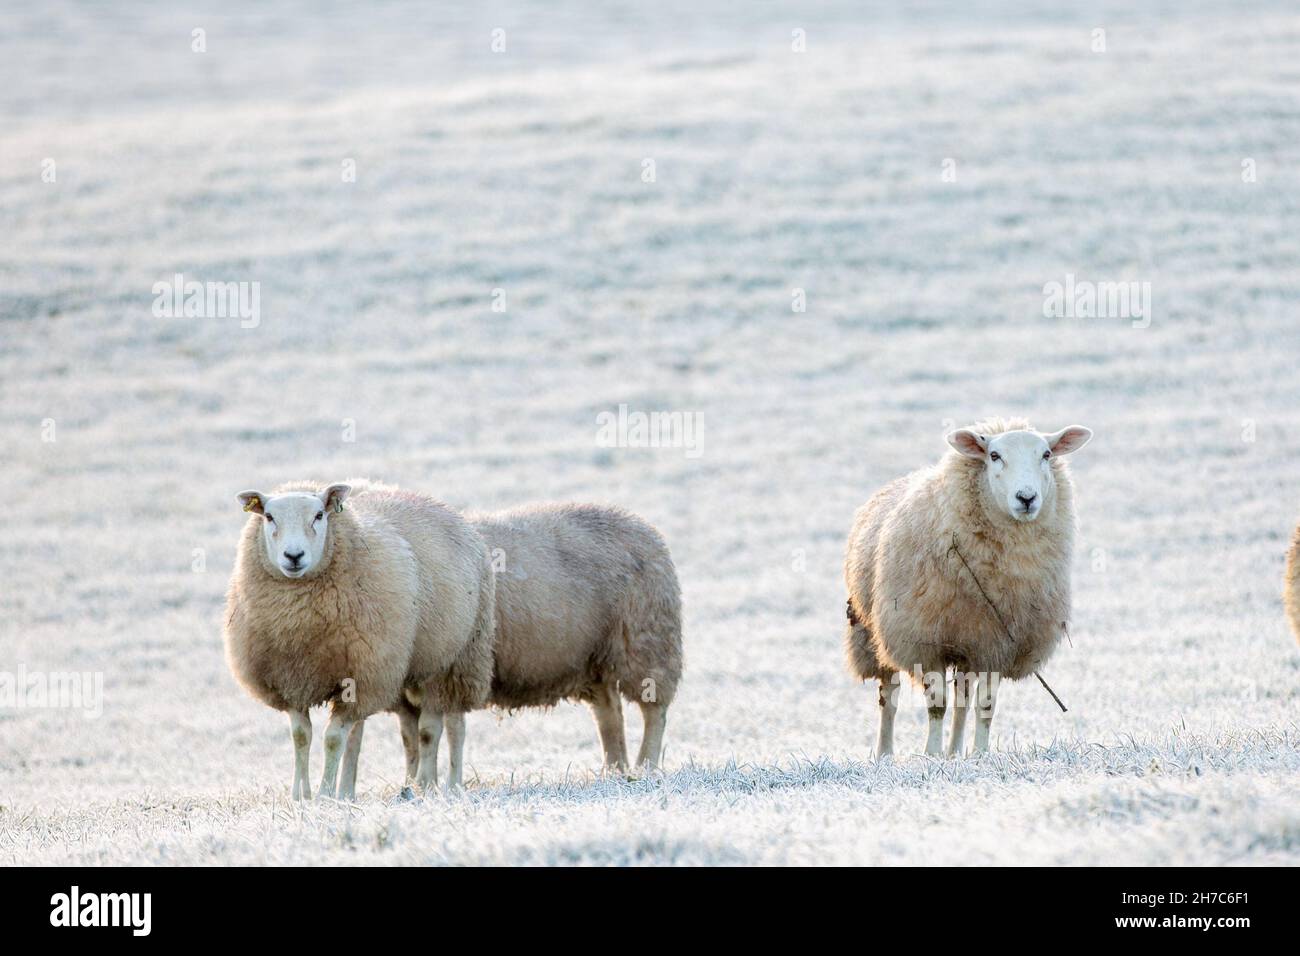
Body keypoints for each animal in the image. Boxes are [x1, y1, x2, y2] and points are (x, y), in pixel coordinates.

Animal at [223, 478, 491, 801]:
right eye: (269, 517)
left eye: (319, 515)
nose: (294, 556)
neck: (300, 623)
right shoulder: (293, 680)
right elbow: (301, 737)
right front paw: (301, 795)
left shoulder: (361, 677)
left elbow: (332, 739)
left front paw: (324, 795)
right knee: (389, 731)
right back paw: (363, 790)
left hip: (457, 659)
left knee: (450, 725)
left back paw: (443, 785)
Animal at [392, 502, 686, 780]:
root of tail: (641, 524)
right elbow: (411, 739)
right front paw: (412, 785)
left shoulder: (456, 670)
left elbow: (438, 731)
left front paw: (436, 785)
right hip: (594, 658)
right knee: (610, 712)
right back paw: (615, 769)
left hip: (646, 641)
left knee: (654, 710)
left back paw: (646, 765)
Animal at [842, 418, 1097, 754]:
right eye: (994, 455)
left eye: (1046, 454)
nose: (1026, 498)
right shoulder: (925, 641)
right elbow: (937, 704)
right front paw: (932, 754)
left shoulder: (995, 645)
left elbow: (985, 706)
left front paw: (979, 754)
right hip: (874, 633)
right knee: (889, 698)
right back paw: (885, 754)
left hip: (967, 644)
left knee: (962, 699)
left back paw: (955, 752)